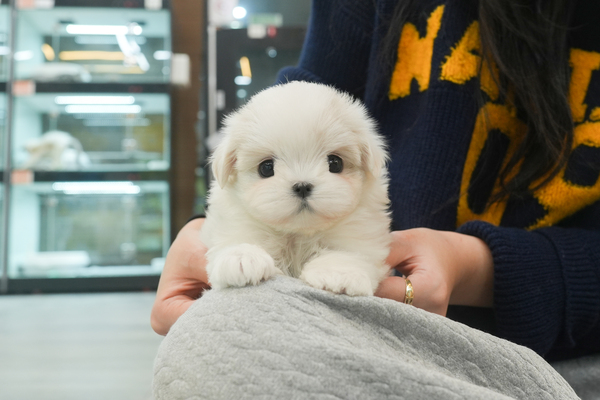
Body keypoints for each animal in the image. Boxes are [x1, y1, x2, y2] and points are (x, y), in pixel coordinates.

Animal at [201, 81, 391, 296]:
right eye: (266, 168)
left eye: (335, 163)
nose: (302, 187)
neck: (297, 233)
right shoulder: (235, 222)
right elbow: (233, 240)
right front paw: (241, 258)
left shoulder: (359, 232)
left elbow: (348, 252)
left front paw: (339, 272)